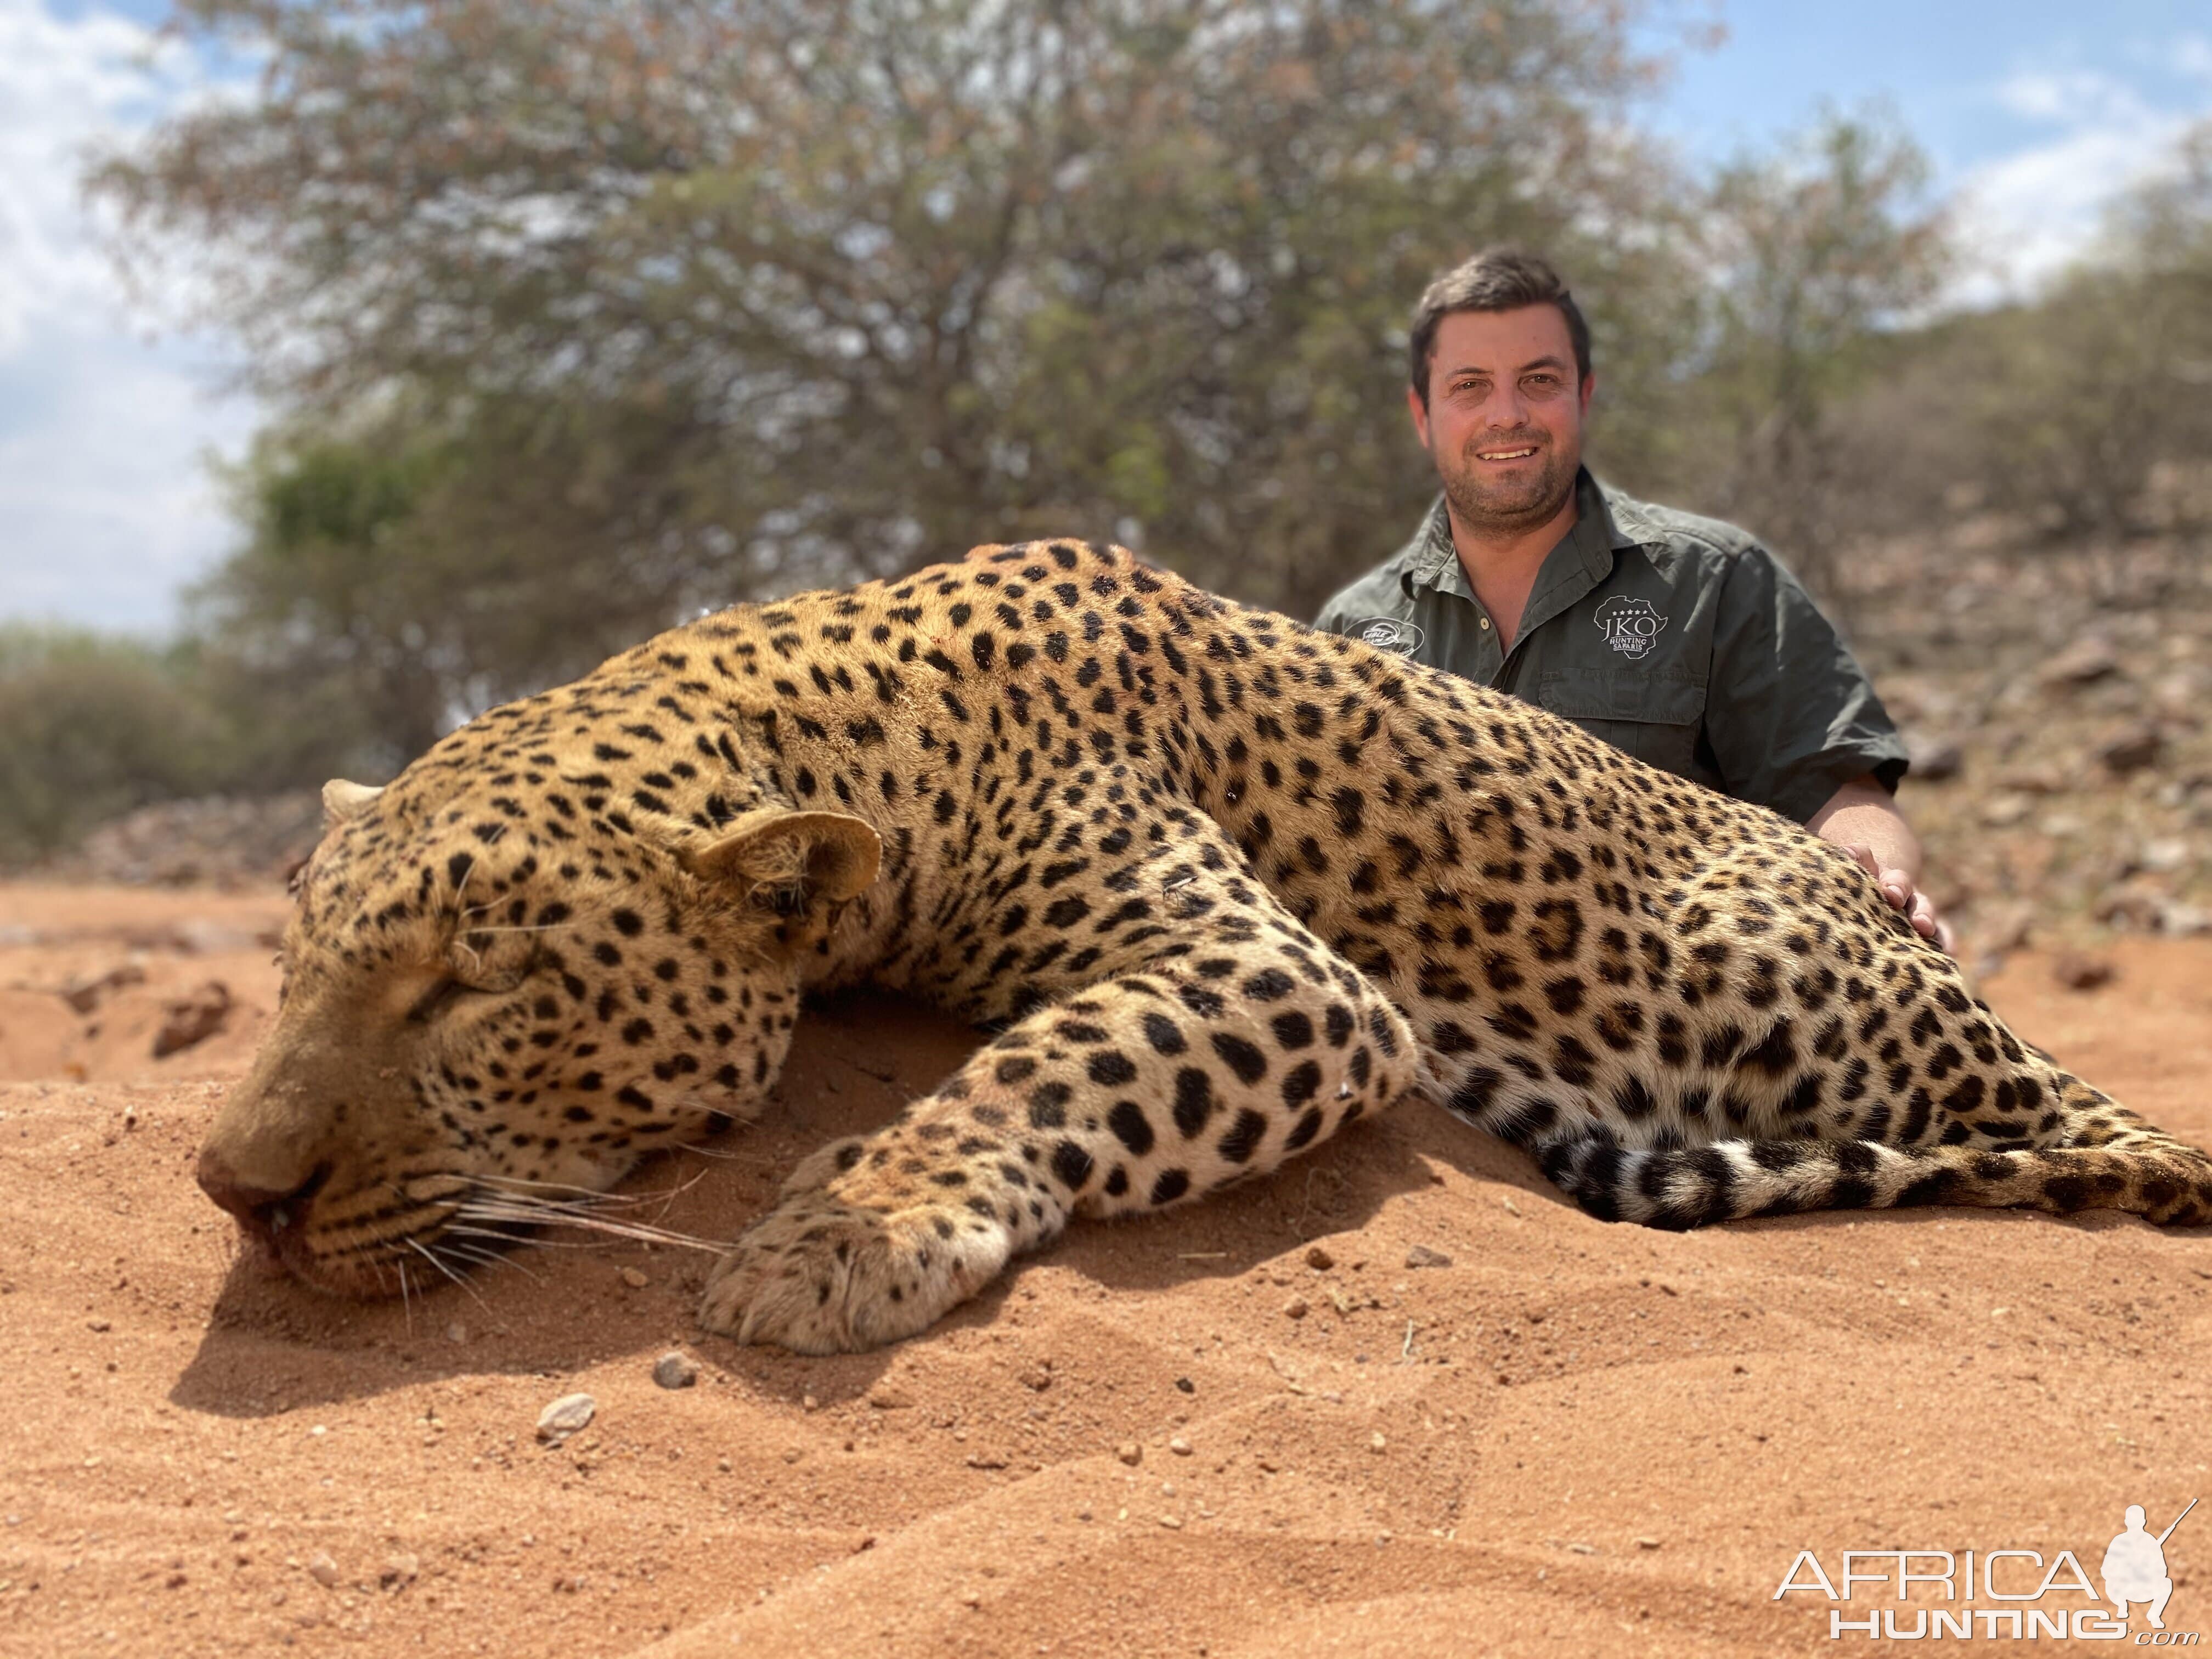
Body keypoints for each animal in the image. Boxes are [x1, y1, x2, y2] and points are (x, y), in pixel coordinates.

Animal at [194, 541, 2212, 1353]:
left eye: (476, 985)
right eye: (296, 968)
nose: (238, 1197)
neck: (865, 726)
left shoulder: (1284, 976)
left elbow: (1043, 1061)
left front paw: (832, 1242)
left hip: (1785, 979)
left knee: (2087, 1120)